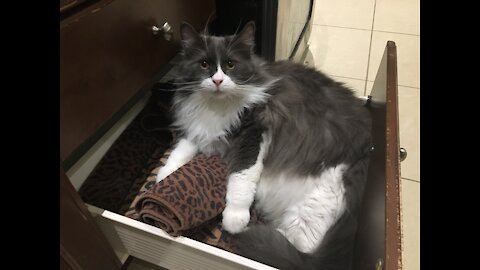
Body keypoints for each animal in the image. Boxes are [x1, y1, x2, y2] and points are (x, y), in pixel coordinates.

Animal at [156, 21, 374, 270]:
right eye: (204, 64)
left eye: (230, 64)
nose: (218, 81)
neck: (216, 107)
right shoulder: (198, 130)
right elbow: (179, 153)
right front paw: (163, 176)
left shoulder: (254, 133)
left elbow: (241, 178)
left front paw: (235, 218)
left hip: (310, 210)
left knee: (298, 252)